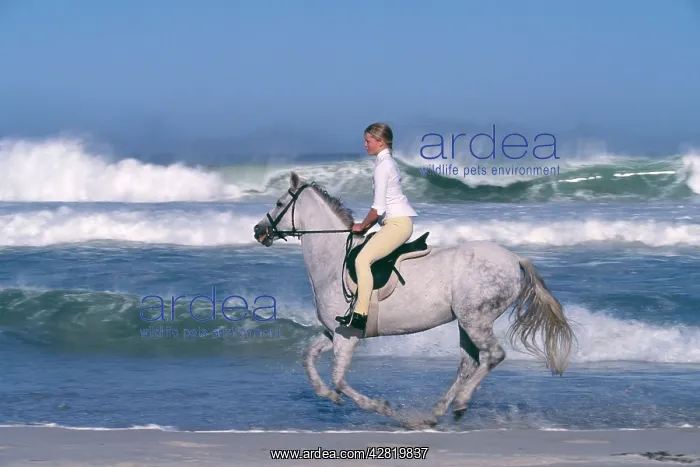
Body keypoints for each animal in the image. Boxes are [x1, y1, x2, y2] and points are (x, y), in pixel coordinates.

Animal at [253, 171, 575, 429]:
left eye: (279, 204)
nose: (258, 231)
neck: (333, 260)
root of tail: (514, 259)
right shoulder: (335, 331)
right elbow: (308, 358)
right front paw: (328, 396)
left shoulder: (347, 336)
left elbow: (339, 378)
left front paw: (383, 408)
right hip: (466, 321)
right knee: (468, 363)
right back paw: (436, 413)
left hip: (476, 319)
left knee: (492, 356)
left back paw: (460, 403)